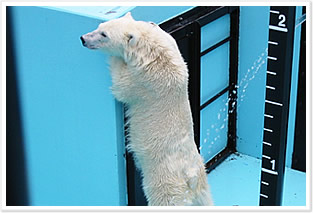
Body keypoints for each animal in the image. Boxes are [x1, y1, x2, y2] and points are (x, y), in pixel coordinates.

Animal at [80, 12, 212, 206]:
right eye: (99, 26)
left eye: (104, 34)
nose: (83, 39)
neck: (150, 48)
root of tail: (191, 176)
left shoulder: (144, 77)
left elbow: (121, 86)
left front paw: (115, 59)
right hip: (202, 181)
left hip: (164, 180)